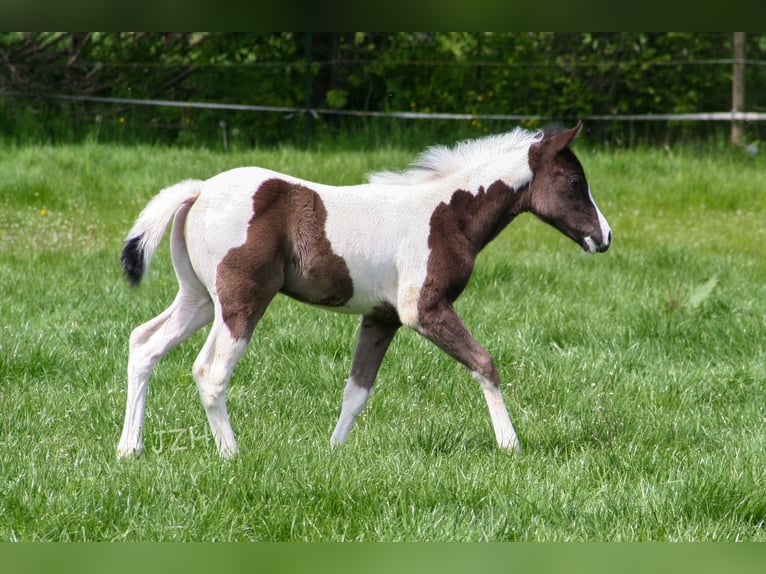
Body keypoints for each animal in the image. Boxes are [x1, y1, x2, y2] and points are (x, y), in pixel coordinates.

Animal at [116, 122, 611, 459]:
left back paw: (129, 449)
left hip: (199, 299)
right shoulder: (424, 310)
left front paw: (333, 453)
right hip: (241, 302)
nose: (603, 237)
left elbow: (356, 390)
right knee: (209, 370)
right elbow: (485, 364)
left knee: (144, 343)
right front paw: (511, 444)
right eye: (575, 182)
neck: (445, 214)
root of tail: (199, 191)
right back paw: (232, 454)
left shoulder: (381, 316)